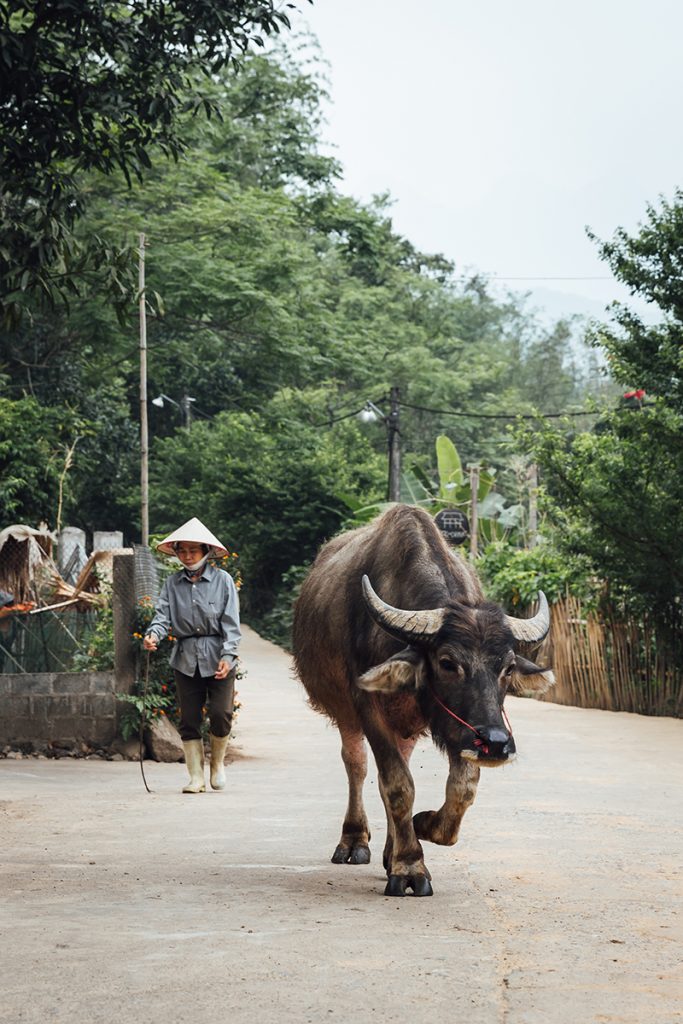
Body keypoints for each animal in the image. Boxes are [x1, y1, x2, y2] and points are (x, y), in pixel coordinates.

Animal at [290, 503, 552, 897]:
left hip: (410, 724)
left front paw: (422, 825)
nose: (495, 743)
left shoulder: (457, 729)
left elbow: (462, 788)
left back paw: (390, 851)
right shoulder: (368, 705)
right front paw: (410, 867)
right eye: (447, 662)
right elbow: (397, 784)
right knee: (358, 766)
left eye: (507, 667)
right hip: (346, 713)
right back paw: (354, 842)